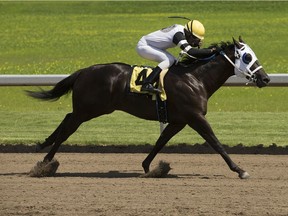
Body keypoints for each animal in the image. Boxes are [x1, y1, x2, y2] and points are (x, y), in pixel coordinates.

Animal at [27, 37, 270, 179]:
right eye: (247, 56)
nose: (266, 78)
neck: (195, 78)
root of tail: (83, 71)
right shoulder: (195, 117)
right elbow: (216, 143)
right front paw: (240, 170)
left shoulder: (179, 120)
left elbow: (161, 141)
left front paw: (149, 167)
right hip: (89, 109)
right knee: (68, 127)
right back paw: (45, 164)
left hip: (88, 109)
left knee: (67, 118)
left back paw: (43, 145)